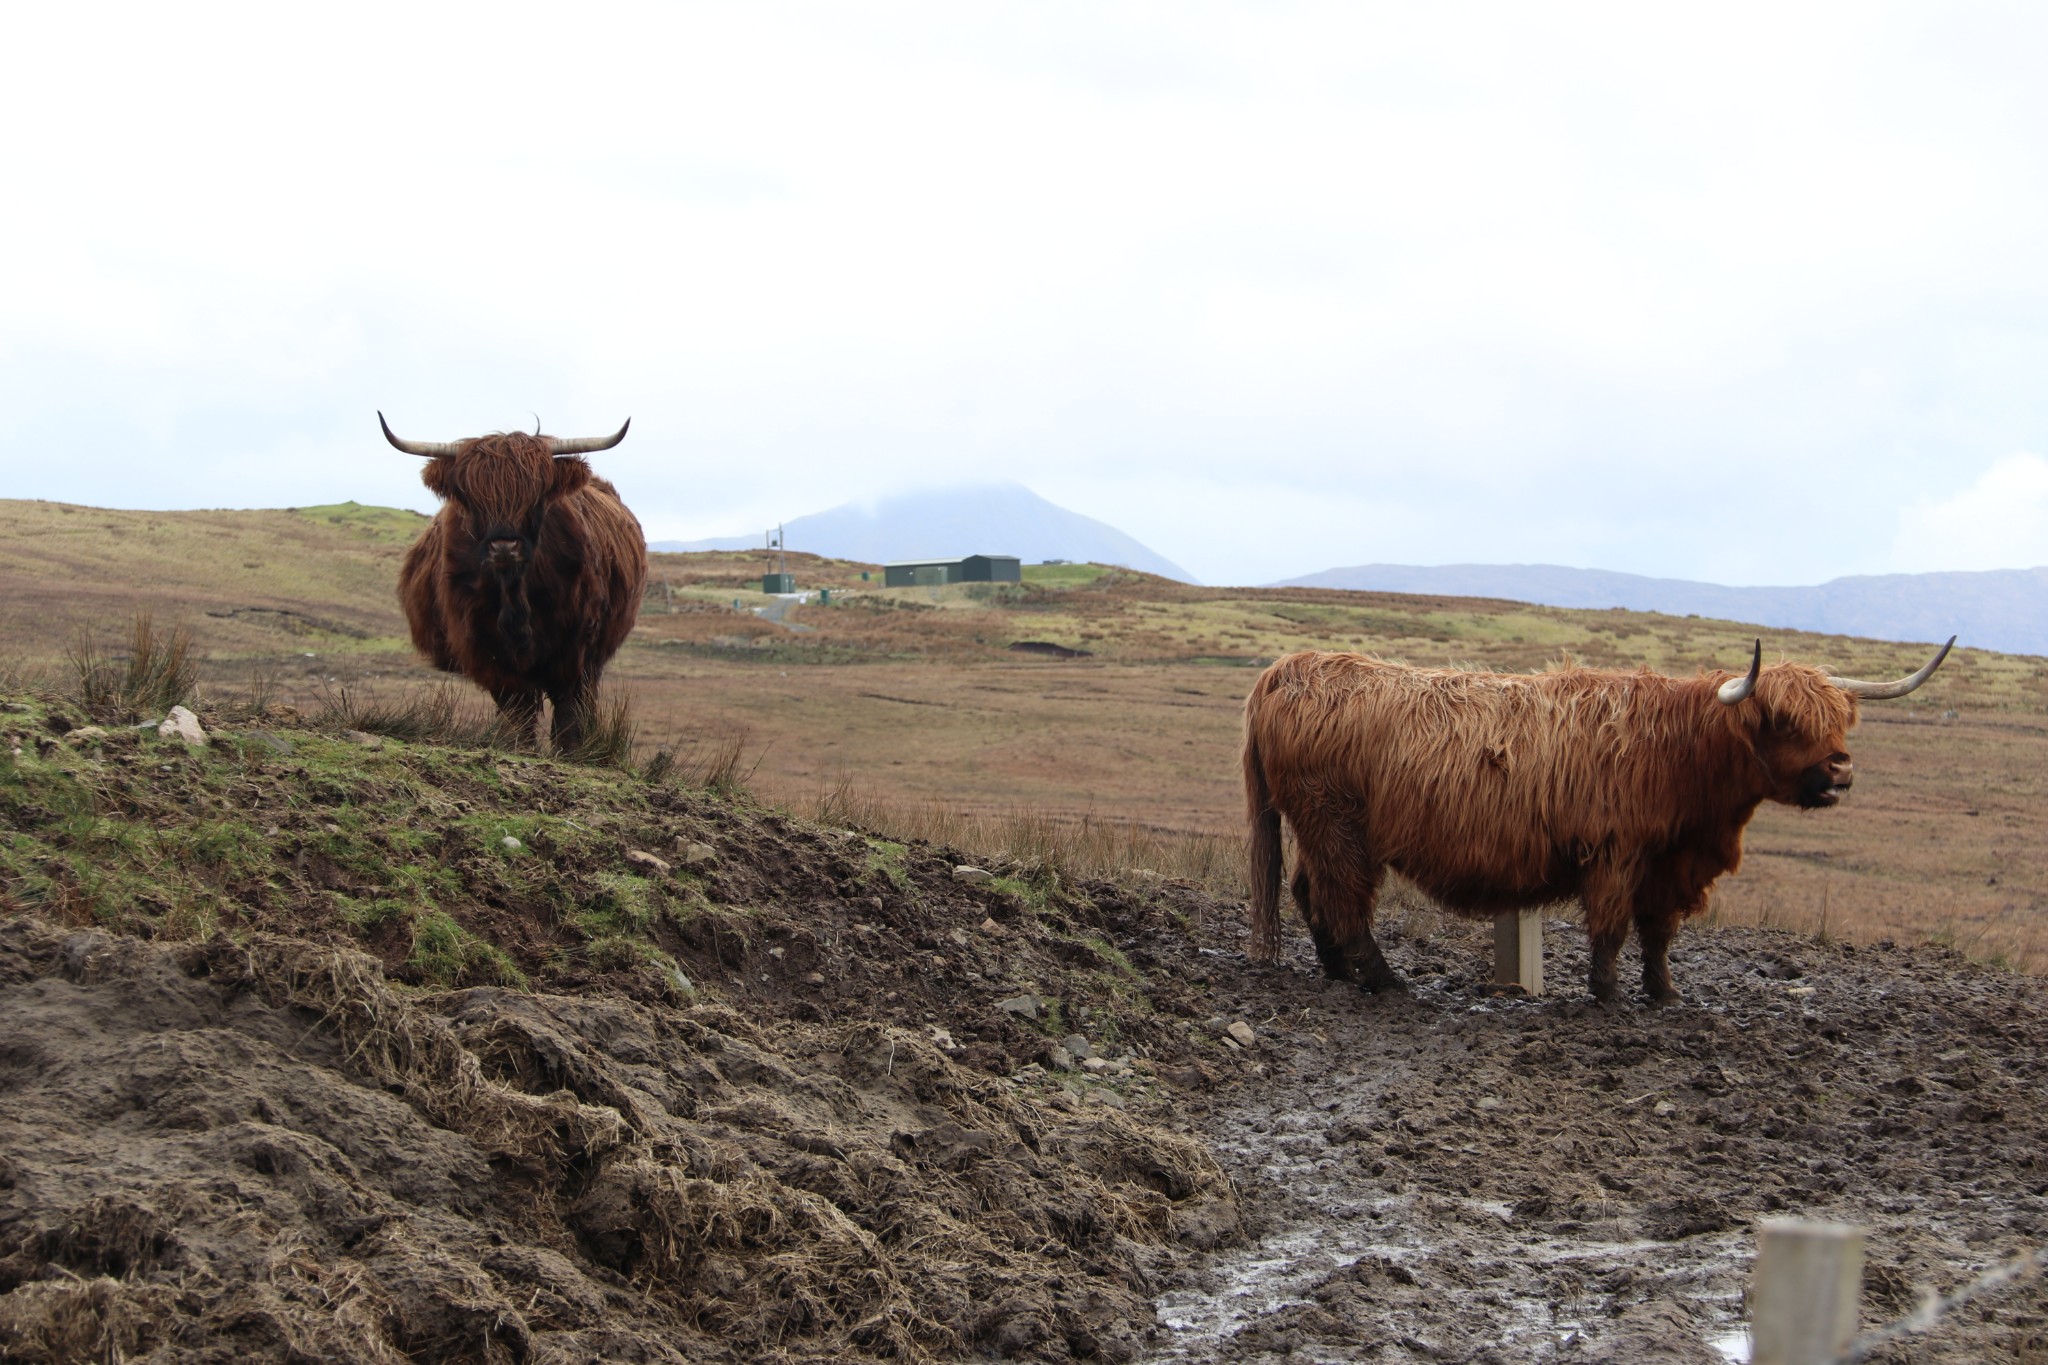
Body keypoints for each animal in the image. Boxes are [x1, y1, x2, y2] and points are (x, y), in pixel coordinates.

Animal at [380, 417, 643, 753]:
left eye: (536, 494)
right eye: (472, 497)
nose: (504, 546)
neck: (515, 592)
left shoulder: (574, 640)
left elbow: (568, 703)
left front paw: (569, 749)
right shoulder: (484, 642)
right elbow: (516, 704)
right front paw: (517, 744)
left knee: (586, 696)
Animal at [1236, 642, 1957, 1002]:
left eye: (1841, 718)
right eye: (1784, 721)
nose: (1840, 772)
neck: (1681, 755)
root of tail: (1284, 670)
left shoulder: (1670, 861)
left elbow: (1660, 933)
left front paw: (1665, 994)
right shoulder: (1616, 851)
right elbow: (1611, 928)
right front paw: (1606, 994)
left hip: (1323, 829)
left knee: (1310, 891)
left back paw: (1338, 971)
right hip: (1337, 826)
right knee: (1343, 901)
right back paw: (1384, 981)